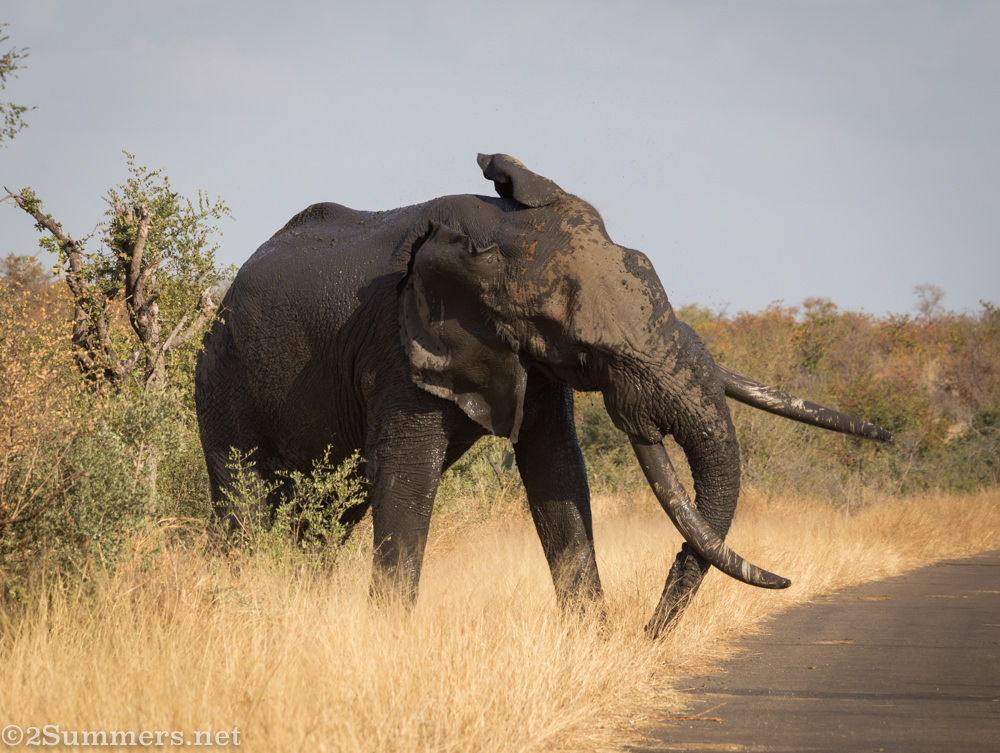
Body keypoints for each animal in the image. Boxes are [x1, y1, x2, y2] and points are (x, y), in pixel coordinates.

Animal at [195, 153, 892, 635]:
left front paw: (592, 644)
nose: (648, 633)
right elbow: (407, 478)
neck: (493, 237)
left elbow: (558, 468)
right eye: (591, 348)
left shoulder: (529, 363)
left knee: (327, 518)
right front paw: (387, 642)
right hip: (222, 382)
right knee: (247, 501)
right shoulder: (397, 351)